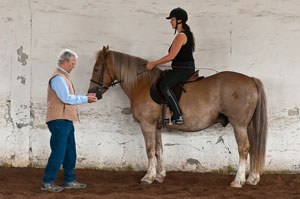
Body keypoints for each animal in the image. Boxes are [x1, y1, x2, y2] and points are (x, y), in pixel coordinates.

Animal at [88, 46, 268, 188]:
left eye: (96, 69)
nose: (92, 93)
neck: (141, 84)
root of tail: (250, 80)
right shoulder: (156, 126)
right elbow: (159, 150)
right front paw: (159, 176)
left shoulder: (147, 124)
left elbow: (149, 150)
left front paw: (148, 177)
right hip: (247, 125)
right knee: (253, 147)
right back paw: (252, 178)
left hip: (239, 125)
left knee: (243, 148)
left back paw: (238, 181)